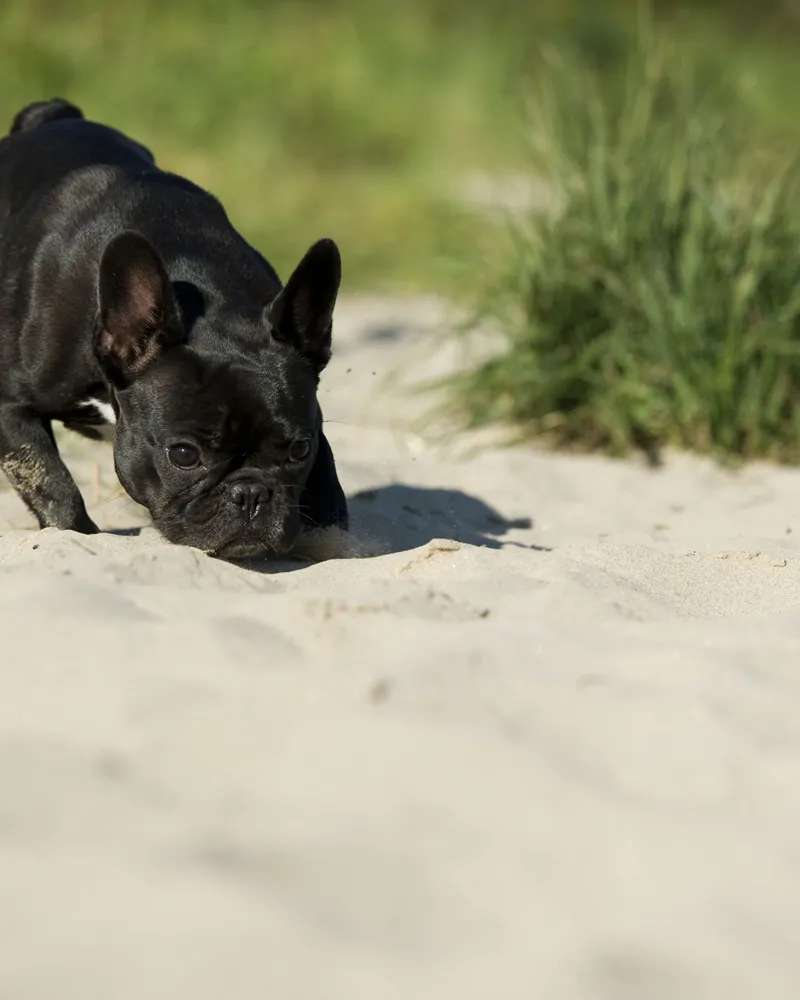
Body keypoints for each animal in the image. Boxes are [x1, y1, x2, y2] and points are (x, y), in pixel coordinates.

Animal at [0, 98, 346, 560]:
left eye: (298, 450)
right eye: (184, 455)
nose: (251, 494)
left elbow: (330, 489)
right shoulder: (11, 409)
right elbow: (53, 486)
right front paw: (79, 533)